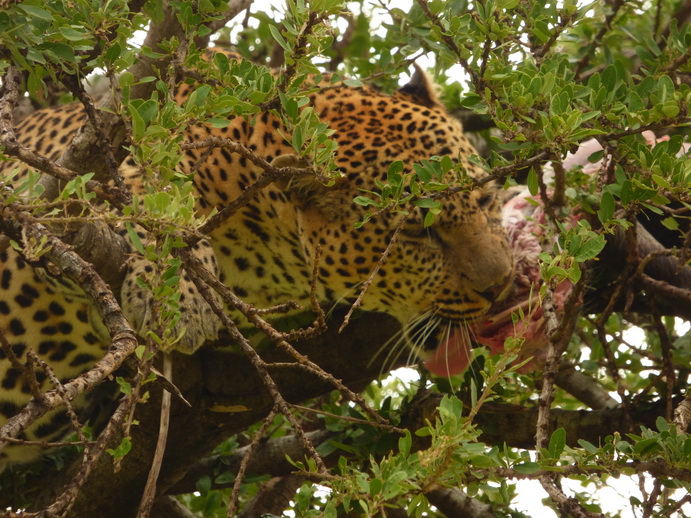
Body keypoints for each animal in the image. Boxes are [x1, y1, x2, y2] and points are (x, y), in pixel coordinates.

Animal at [0, 54, 512, 470]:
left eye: (486, 200)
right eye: (416, 233)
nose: (499, 287)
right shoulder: (61, 191)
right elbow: (155, 196)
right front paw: (178, 294)